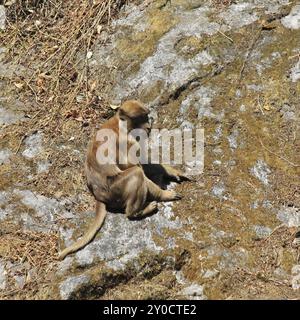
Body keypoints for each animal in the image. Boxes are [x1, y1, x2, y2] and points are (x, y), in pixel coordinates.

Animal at [58, 100, 189, 260]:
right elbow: (137, 168)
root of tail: (98, 195)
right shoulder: (127, 142)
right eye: (140, 118)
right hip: (115, 189)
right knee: (136, 173)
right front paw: (165, 195)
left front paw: (171, 171)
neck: (121, 125)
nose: (148, 127)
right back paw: (136, 212)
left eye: (146, 116)